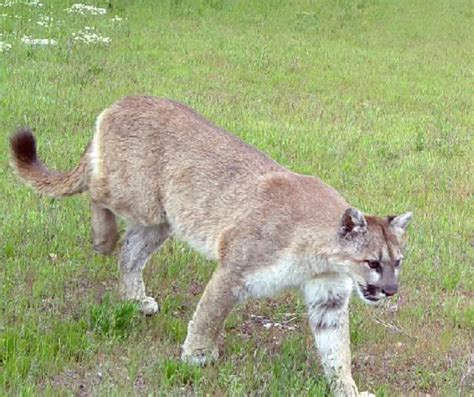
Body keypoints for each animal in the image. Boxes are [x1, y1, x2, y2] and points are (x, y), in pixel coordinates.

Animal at [11, 96, 412, 396]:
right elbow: (210, 312)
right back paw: (103, 238)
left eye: (398, 262)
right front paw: (198, 354)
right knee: (97, 193)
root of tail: (121, 101)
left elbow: (336, 349)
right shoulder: (235, 270)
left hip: (161, 221)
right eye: (372, 262)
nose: (391, 290)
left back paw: (135, 299)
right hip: (139, 198)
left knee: (131, 253)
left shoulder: (328, 297)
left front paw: (347, 388)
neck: (320, 259)